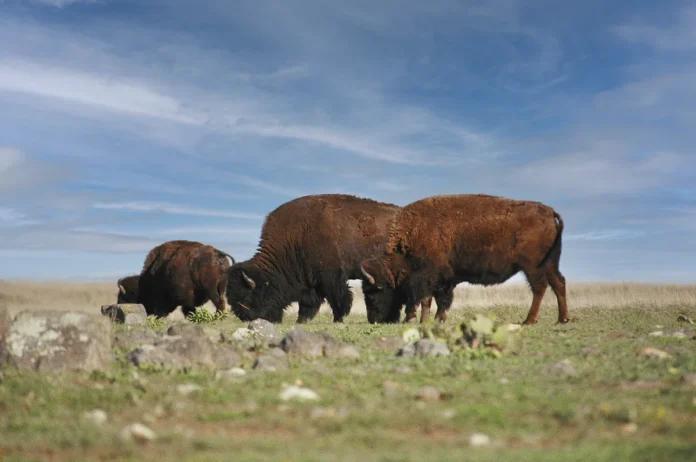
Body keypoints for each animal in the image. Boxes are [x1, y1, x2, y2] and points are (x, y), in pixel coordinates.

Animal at [226, 194, 432, 324]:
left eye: (247, 296)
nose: (246, 317)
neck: (296, 237)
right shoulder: (310, 281)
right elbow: (309, 302)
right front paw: (301, 320)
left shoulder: (330, 276)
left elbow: (339, 298)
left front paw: (338, 319)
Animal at [359, 194, 569, 325]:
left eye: (375, 291)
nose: (374, 320)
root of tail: (548, 211)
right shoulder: (446, 280)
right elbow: (441, 300)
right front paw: (438, 320)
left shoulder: (428, 277)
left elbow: (427, 299)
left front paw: (422, 320)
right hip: (550, 263)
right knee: (558, 283)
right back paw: (562, 319)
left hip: (533, 267)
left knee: (540, 288)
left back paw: (529, 321)